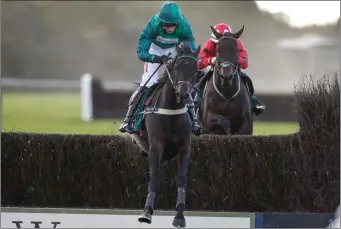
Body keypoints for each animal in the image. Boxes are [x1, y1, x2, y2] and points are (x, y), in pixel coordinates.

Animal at [130, 41, 199, 227]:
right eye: (177, 67)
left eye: (195, 70)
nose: (184, 93)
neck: (172, 110)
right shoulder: (156, 146)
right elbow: (154, 177)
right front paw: (146, 212)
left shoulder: (185, 147)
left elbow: (181, 178)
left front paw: (180, 216)